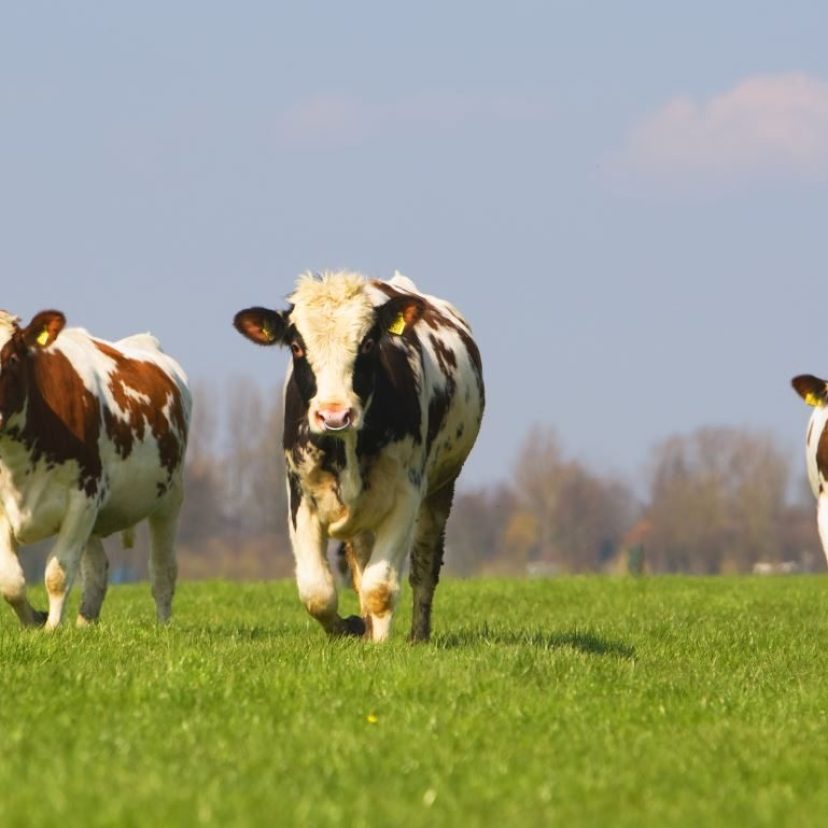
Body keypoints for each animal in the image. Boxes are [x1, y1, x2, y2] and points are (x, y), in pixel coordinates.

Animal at [0, 309, 191, 629]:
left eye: (12, 359)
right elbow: (10, 581)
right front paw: (34, 621)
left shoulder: (83, 498)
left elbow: (58, 573)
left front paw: (51, 629)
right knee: (98, 570)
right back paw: (85, 624)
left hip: (170, 498)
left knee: (163, 570)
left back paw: (163, 625)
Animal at [234, 271, 484, 642]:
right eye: (296, 347)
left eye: (367, 344)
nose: (334, 414)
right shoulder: (300, 494)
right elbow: (317, 592)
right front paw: (351, 628)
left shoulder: (407, 493)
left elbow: (379, 587)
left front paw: (378, 645)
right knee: (360, 560)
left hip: (442, 486)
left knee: (424, 566)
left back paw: (417, 635)